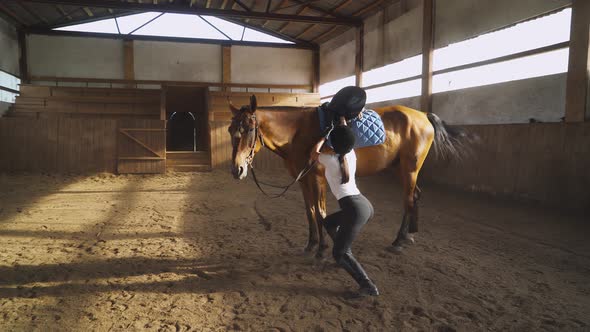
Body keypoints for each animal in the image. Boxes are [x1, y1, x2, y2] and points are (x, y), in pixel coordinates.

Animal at [227, 94, 472, 258]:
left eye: (249, 129)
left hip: (410, 169)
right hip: (401, 168)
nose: (237, 169)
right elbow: (309, 211)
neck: (299, 132)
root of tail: (423, 116)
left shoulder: (317, 179)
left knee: (409, 199)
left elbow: (320, 213)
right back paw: (410, 234)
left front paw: (322, 249)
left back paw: (399, 241)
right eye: (230, 130)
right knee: (416, 195)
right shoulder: (303, 179)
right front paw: (311, 244)